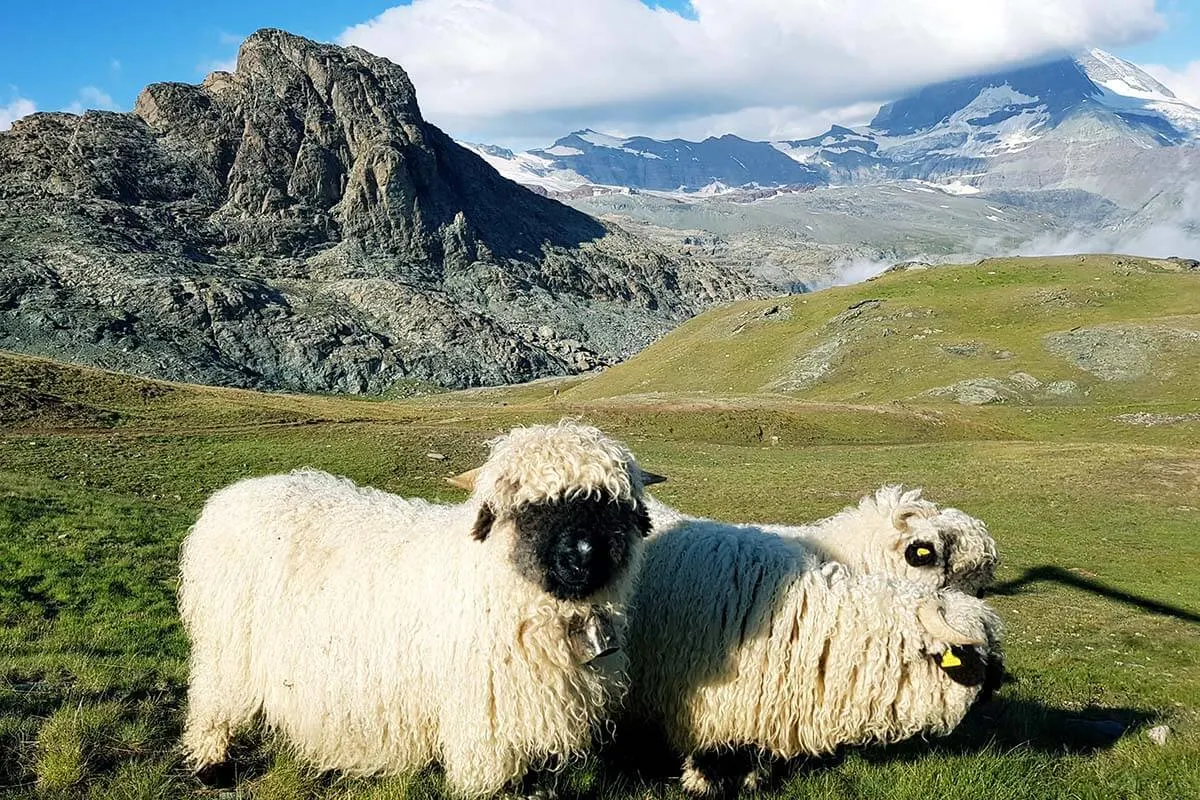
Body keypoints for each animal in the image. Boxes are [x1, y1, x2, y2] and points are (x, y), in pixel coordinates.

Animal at [182, 422, 662, 796]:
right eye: (529, 508)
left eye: (611, 506)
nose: (582, 557)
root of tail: (231, 496)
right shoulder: (484, 722)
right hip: (227, 648)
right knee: (211, 703)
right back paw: (211, 766)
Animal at [619, 520, 1003, 796]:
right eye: (972, 654)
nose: (995, 687)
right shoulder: (706, 705)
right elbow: (708, 762)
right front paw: (703, 787)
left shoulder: (759, 704)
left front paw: (753, 783)